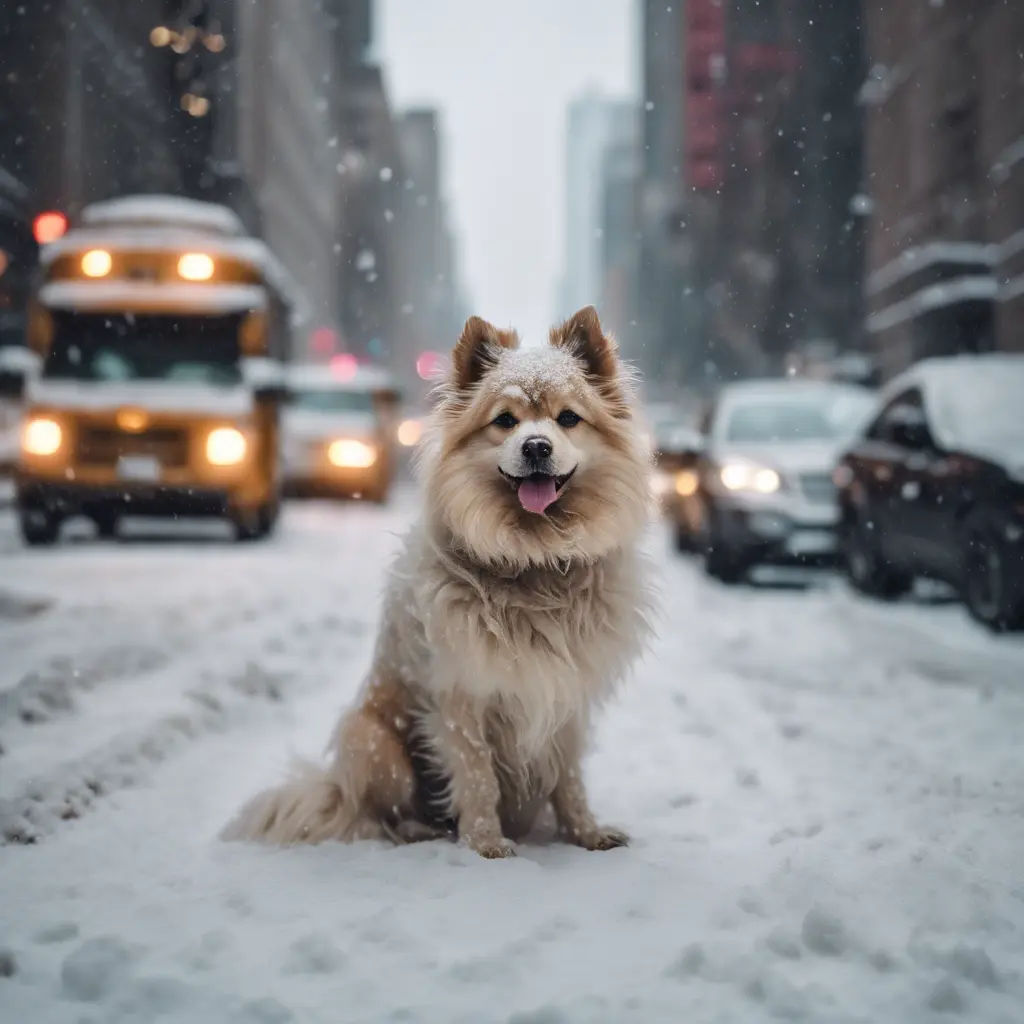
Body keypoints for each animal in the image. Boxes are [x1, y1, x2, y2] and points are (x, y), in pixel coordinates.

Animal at [225, 303, 655, 856]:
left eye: (568, 419)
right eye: (505, 421)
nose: (537, 446)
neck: (534, 559)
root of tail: (335, 789)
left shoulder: (568, 697)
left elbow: (569, 777)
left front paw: (584, 832)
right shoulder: (459, 697)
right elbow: (476, 776)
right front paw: (485, 842)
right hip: (370, 740)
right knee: (380, 814)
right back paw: (420, 831)